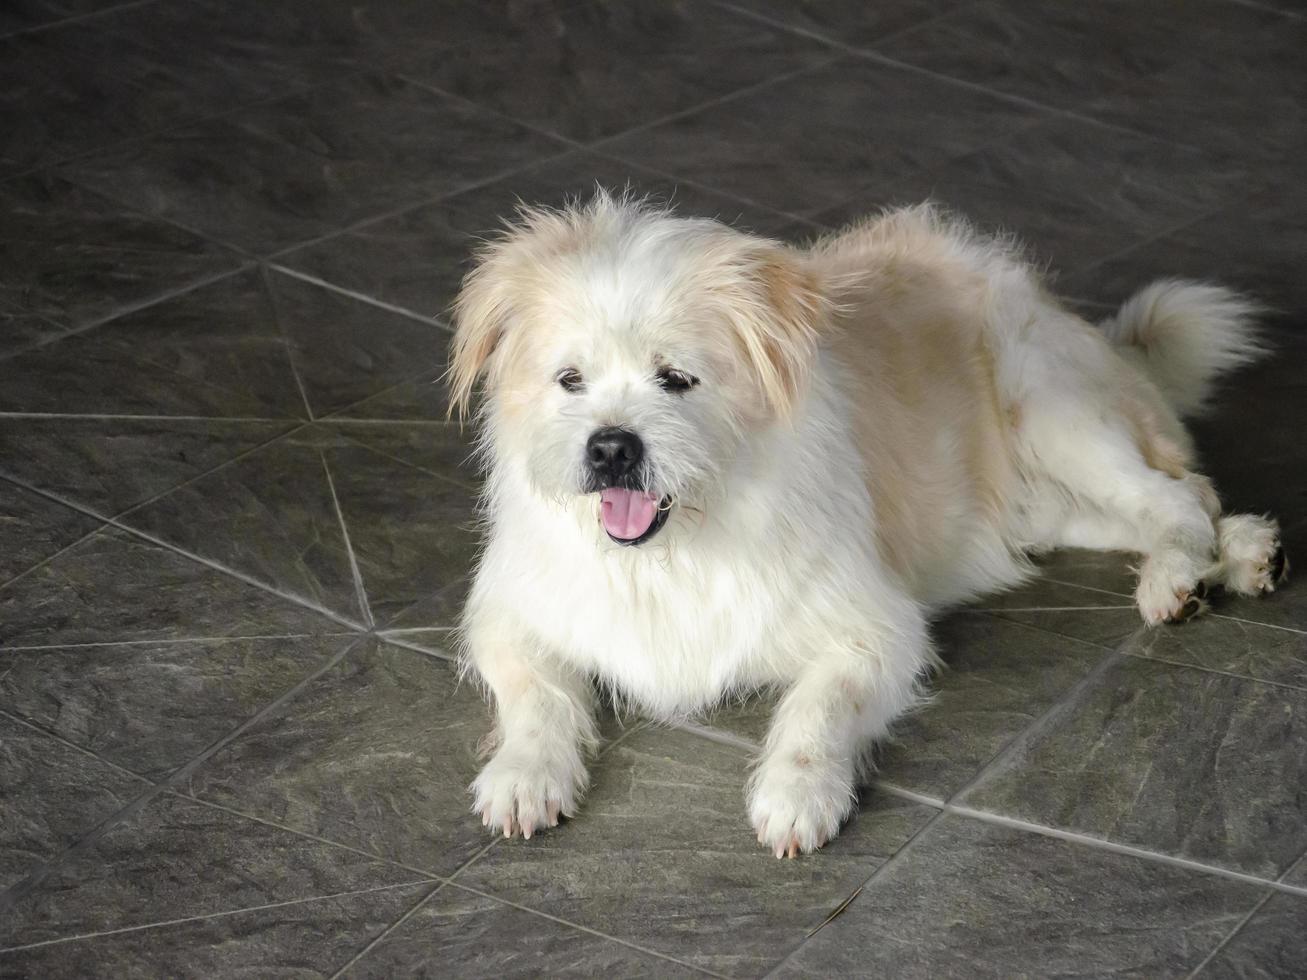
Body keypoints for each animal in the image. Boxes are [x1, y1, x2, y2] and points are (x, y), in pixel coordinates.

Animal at [444, 192, 1280, 857]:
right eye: (569, 380)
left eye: (675, 378)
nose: (610, 448)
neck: (672, 551)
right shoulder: (508, 614)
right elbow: (536, 694)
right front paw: (523, 775)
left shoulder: (876, 630)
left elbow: (818, 708)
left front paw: (797, 795)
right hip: (1043, 508)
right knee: (1178, 501)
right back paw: (1245, 555)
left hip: (1054, 411)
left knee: (1178, 496)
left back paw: (1180, 578)